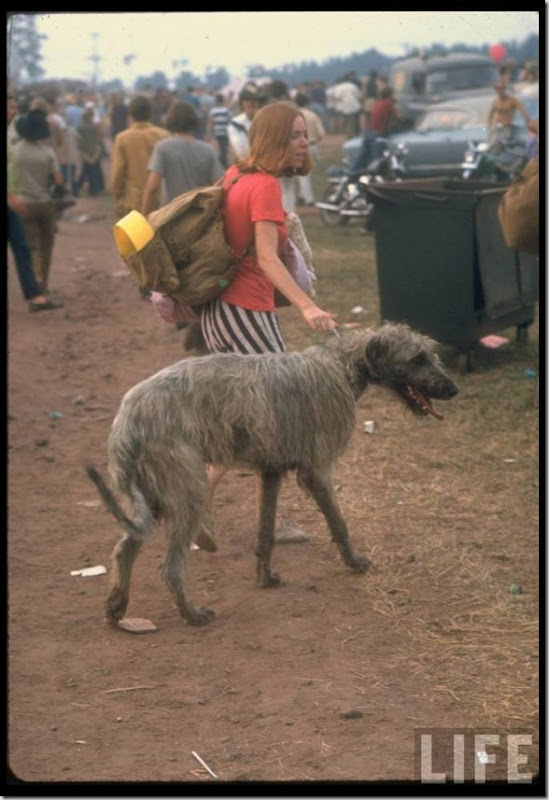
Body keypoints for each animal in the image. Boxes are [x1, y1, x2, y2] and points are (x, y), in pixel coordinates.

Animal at [88, 322, 456, 628]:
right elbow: (339, 523)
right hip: (185, 486)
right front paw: (353, 562)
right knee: (171, 568)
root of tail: (126, 420)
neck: (341, 365)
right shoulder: (316, 471)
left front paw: (265, 578)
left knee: (124, 548)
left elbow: (265, 534)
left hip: (152, 495)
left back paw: (117, 606)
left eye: (431, 353)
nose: (453, 390)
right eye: (417, 358)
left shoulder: (271, 472)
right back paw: (192, 614)